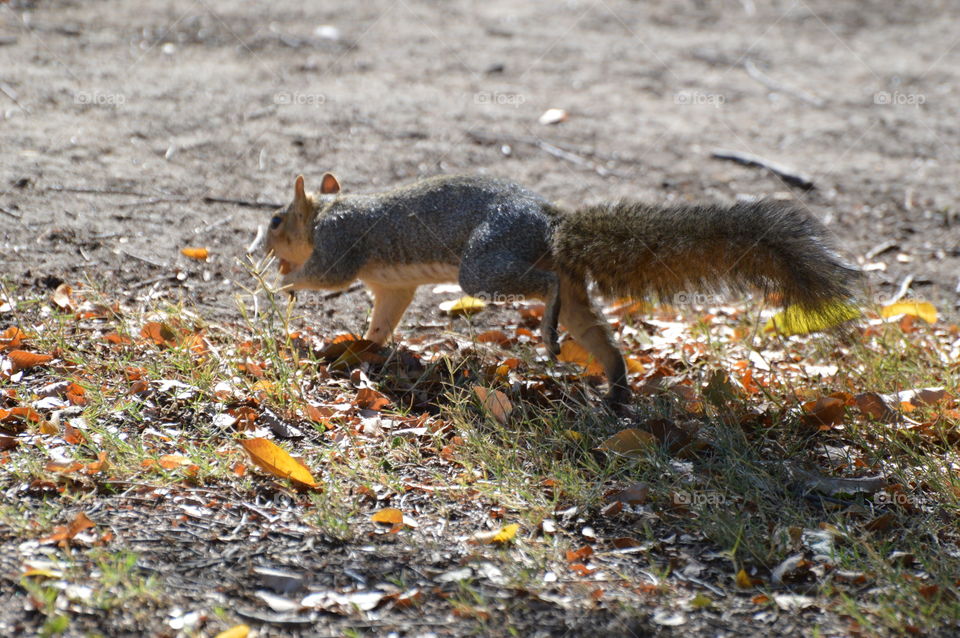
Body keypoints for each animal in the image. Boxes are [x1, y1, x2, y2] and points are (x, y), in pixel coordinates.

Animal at [264, 173, 860, 406]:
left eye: (275, 220)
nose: (261, 245)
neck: (332, 208)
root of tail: (552, 223)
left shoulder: (341, 244)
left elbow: (326, 276)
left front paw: (279, 283)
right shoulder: (393, 288)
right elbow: (384, 316)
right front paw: (367, 346)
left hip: (485, 265)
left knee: (545, 288)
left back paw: (551, 338)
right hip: (572, 292)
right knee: (598, 338)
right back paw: (616, 394)